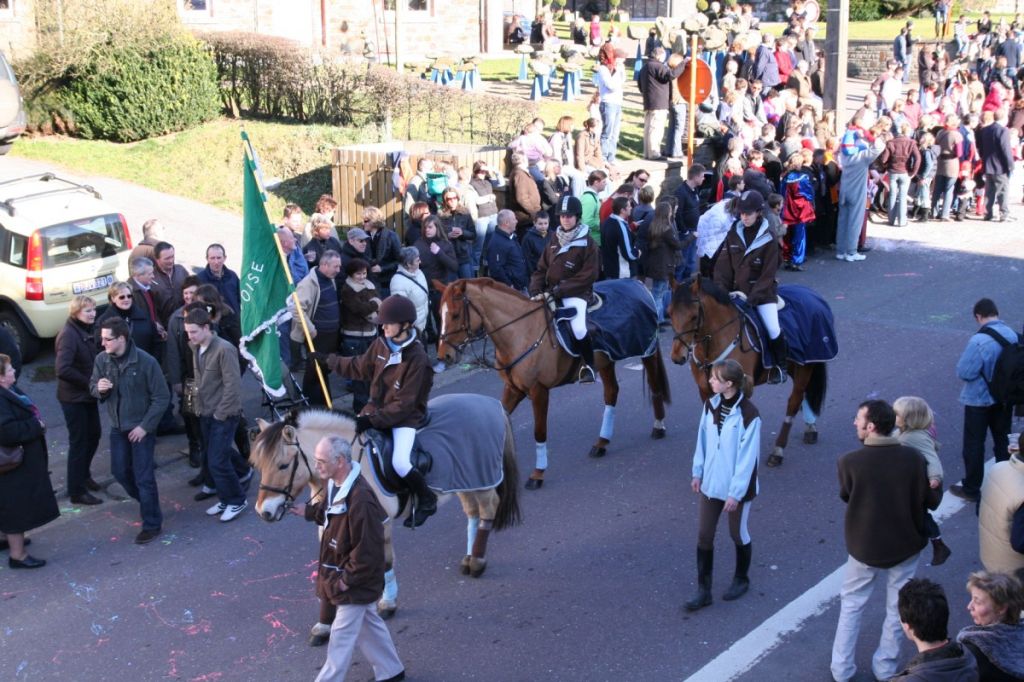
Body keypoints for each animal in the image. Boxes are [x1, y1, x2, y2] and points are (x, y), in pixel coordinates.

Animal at [247, 401, 520, 647]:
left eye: (283, 465)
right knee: (472, 512)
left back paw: (477, 562)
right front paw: (323, 626)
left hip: (481, 478)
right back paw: (469, 557)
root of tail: (492, 404)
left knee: (487, 509)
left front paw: (388, 603)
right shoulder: (327, 525)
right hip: (464, 479)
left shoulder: (379, 521)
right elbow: (327, 568)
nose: (264, 511)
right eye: (259, 466)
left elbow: (385, 562)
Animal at [438, 278, 671, 489]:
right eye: (440, 315)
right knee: (611, 393)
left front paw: (537, 474)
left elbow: (539, 431)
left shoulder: (539, 390)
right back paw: (601, 442)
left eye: (456, 315)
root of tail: (638, 284)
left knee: (654, 386)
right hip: (606, 360)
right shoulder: (513, 389)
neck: (520, 332)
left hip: (647, 351)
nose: (444, 356)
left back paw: (659, 426)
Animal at [667, 274, 827, 464]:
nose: (677, 357)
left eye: (693, 316)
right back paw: (811, 428)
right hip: (795, 365)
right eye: (669, 313)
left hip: (805, 366)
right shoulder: (705, 389)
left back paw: (778, 450)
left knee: (794, 400)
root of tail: (812, 294)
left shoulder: (742, 387)